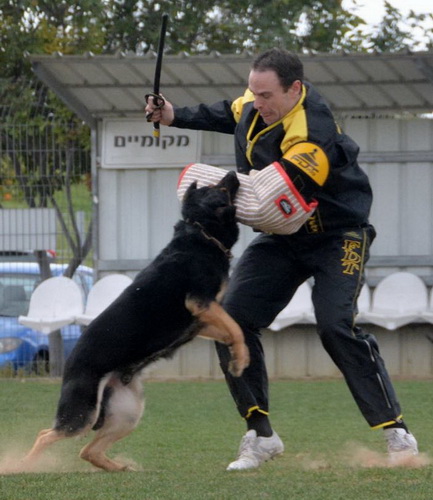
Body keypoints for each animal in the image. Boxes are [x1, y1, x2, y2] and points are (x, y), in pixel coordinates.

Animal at [22, 172, 246, 472]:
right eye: (219, 187)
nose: (234, 173)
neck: (201, 233)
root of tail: (67, 367)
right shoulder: (201, 303)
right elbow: (236, 328)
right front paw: (241, 360)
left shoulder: (201, 320)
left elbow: (234, 330)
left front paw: (237, 356)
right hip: (83, 414)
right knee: (46, 434)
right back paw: (24, 464)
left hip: (127, 414)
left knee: (86, 450)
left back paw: (117, 467)